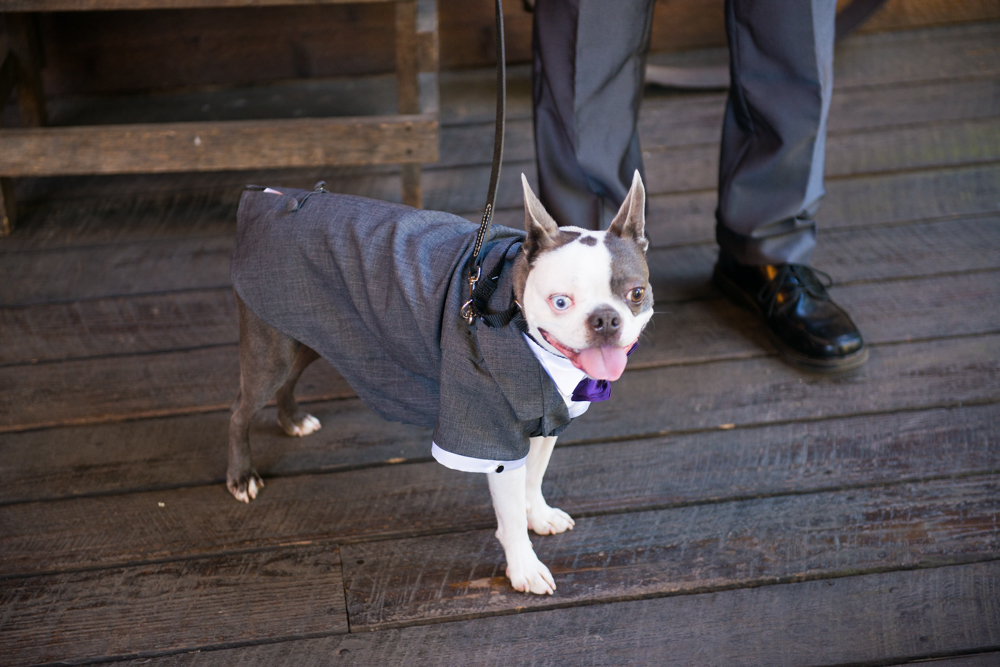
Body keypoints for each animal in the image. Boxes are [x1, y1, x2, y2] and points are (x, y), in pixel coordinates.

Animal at [228, 171, 652, 596]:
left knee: (289, 379)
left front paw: (539, 514)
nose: (605, 319)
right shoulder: (491, 439)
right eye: (560, 302)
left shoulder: (547, 421)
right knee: (240, 410)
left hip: (306, 332)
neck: (511, 310)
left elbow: (534, 477)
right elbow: (511, 513)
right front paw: (524, 567)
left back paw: (292, 420)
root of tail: (273, 198)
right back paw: (242, 476)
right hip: (271, 351)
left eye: (636, 293)